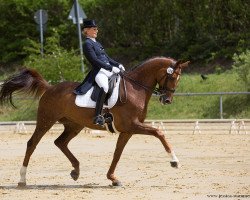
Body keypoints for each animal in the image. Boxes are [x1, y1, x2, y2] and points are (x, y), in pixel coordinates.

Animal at [0, 56, 188, 186]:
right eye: (173, 77)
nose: (167, 100)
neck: (136, 89)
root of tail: (50, 88)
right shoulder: (132, 125)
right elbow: (159, 132)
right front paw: (174, 161)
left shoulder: (127, 130)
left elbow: (117, 154)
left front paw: (113, 178)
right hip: (46, 120)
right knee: (32, 144)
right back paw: (22, 179)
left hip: (74, 125)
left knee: (60, 142)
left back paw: (76, 170)